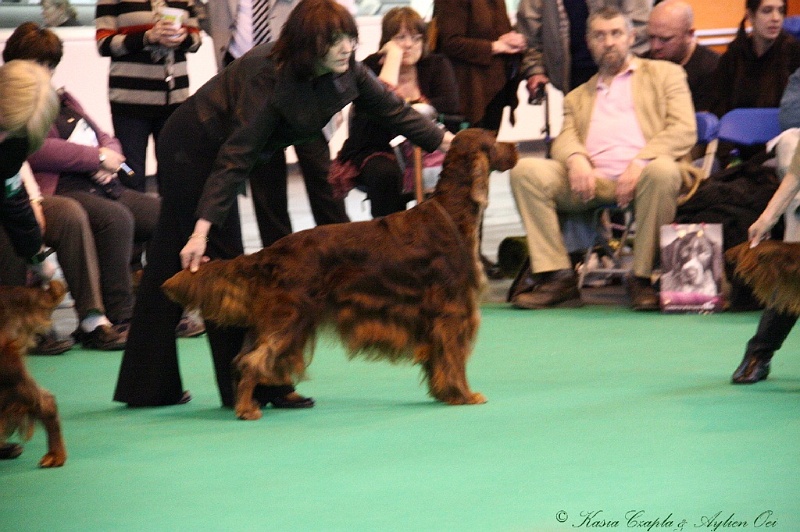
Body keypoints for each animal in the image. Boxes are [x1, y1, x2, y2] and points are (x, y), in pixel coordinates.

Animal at [162, 129, 520, 420]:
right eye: (495, 139)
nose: (516, 147)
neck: (452, 212)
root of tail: (270, 252)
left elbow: (440, 361)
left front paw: (445, 393)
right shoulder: (452, 312)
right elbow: (454, 358)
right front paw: (464, 394)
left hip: (278, 319)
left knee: (244, 357)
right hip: (291, 316)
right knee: (253, 361)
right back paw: (247, 409)